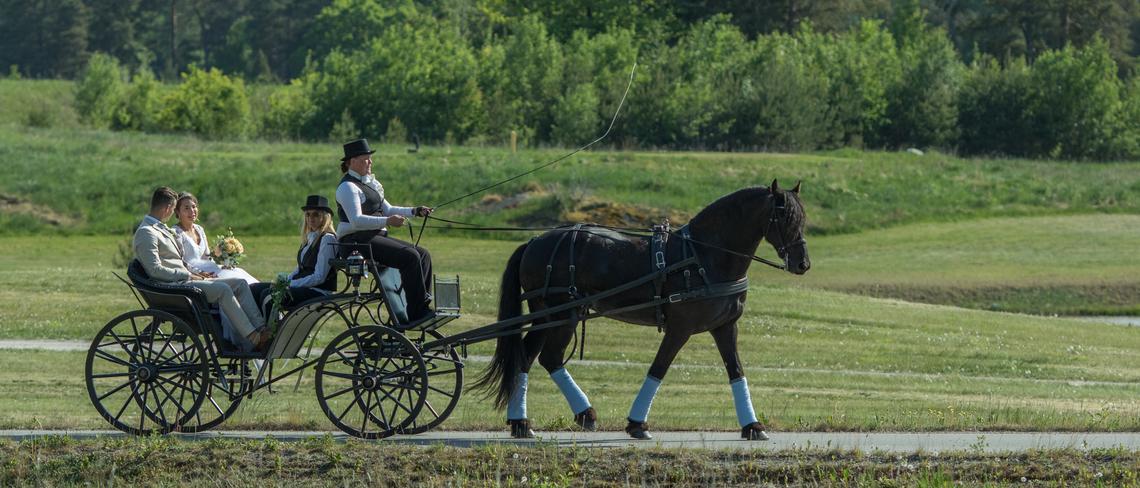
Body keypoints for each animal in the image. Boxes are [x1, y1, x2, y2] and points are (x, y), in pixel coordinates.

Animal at [471, 179, 811, 437]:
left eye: (802, 219)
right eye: (784, 218)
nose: (803, 264)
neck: (703, 256)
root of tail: (534, 241)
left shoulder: (725, 326)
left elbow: (736, 371)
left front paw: (752, 426)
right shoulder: (680, 328)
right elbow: (659, 368)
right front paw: (637, 423)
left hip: (546, 314)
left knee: (525, 358)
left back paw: (521, 422)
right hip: (562, 314)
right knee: (550, 358)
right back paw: (583, 414)